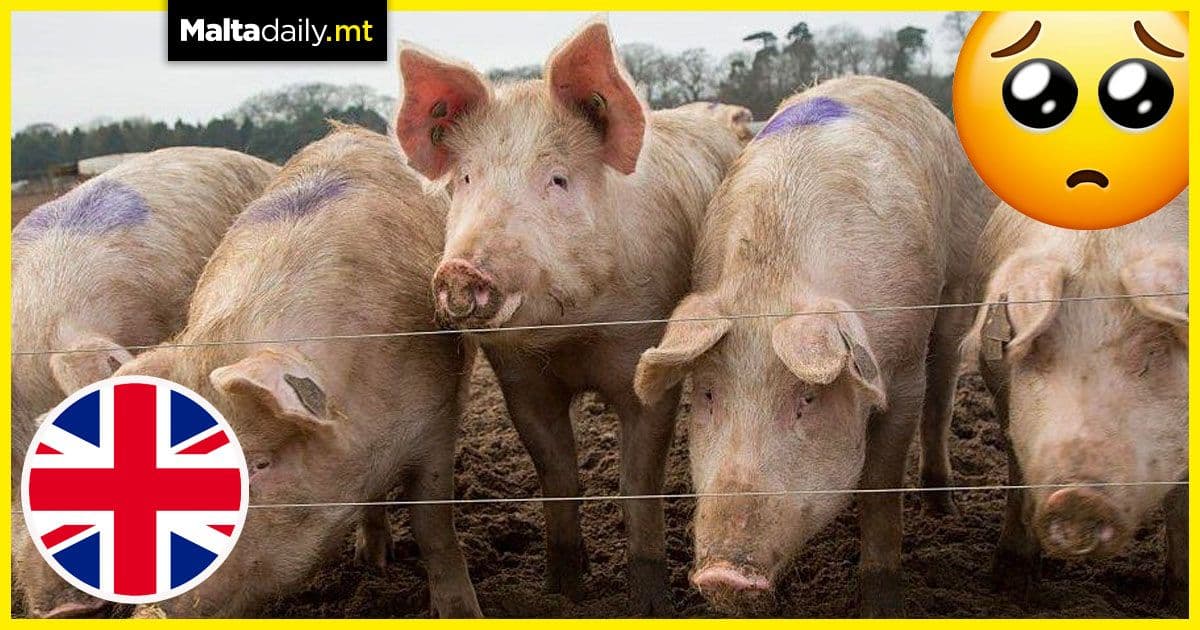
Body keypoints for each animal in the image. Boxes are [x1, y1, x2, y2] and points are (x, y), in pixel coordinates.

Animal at [98, 126, 482, 617]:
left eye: (260, 463)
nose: (156, 606)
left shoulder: (437, 419)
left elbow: (433, 525)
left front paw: (463, 612)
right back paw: (372, 560)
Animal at [393, 18, 743, 615]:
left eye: (557, 179)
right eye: (466, 179)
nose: (460, 270)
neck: (572, 334)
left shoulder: (645, 359)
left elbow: (637, 484)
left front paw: (651, 605)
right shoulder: (519, 379)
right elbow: (557, 474)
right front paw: (562, 592)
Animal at [633, 76, 998, 616]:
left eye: (807, 398)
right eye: (708, 394)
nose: (724, 575)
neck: (775, 281)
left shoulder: (903, 370)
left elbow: (880, 488)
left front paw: (881, 607)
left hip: (959, 283)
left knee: (944, 386)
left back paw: (942, 507)